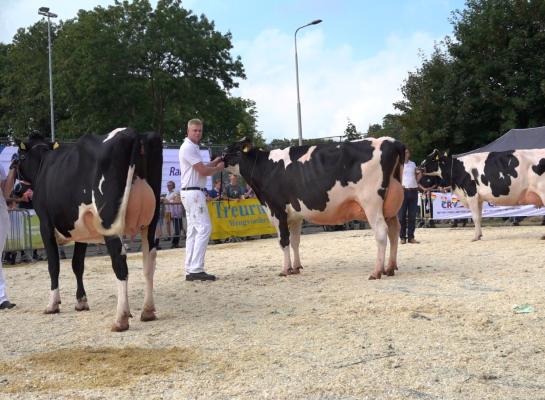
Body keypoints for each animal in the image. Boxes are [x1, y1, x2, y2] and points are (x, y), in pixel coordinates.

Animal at [15, 129, 163, 332]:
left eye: (18, 157)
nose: (16, 189)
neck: (43, 163)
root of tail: (134, 134)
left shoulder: (45, 224)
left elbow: (53, 265)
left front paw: (52, 304)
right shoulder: (82, 231)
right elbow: (77, 264)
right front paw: (81, 301)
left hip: (109, 222)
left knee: (120, 263)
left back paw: (121, 319)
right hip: (151, 222)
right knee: (149, 261)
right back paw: (148, 311)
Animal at [221, 137, 404, 278]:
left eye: (231, 149)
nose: (218, 157)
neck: (265, 167)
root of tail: (392, 141)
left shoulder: (277, 210)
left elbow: (283, 241)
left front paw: (285, 270)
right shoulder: (295, 216)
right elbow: (295, 241)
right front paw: (296, 267)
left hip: (371, 202)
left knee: (381, 232)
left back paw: (377, 271)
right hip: (389, 206)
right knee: (394, 231)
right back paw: (390, 267)